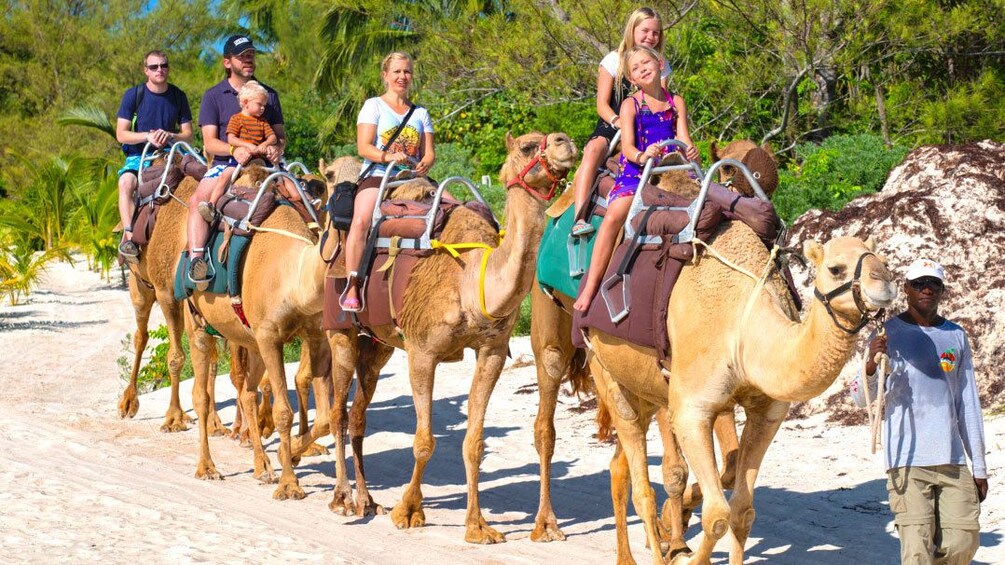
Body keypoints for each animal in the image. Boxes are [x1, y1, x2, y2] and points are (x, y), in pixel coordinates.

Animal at [325, 130, 578, 542]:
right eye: (527, 145)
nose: (564, 141)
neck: (471, 282)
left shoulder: (491, 350)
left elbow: (474, 441)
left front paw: (478, 526)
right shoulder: (422, 351)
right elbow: (424, 440)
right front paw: (409, 511)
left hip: (377, 344)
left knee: (359, 413)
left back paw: (367, 500)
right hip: (340, 329)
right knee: (338, 412)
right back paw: (343, 499)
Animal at [586, 213, 900, 558]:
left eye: (884, 261)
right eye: (835, 268)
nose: (885, 283)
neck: (746, 330)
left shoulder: (767, 413)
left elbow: (742, 510)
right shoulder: (691, 409)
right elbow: (716, 516)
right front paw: (685, 556)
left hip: (646, 390)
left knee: (622, 465)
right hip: (603, 367)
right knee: (641, 487)